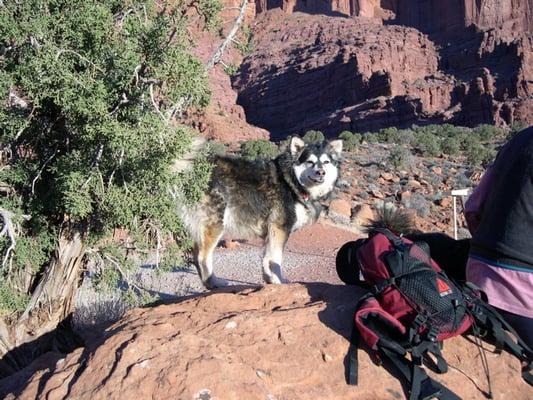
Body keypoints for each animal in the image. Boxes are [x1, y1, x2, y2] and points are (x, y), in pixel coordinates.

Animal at [177, 137, 342, 288]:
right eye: (310, 162)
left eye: (326, 162)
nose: (321, 172)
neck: (292, 181)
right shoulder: (279, 228)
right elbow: (276, 259)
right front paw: (279, 281)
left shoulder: (271, 232)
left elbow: (266, 258)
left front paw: (270, 280)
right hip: (215, 224)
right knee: (202, 257)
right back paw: (214, 283)